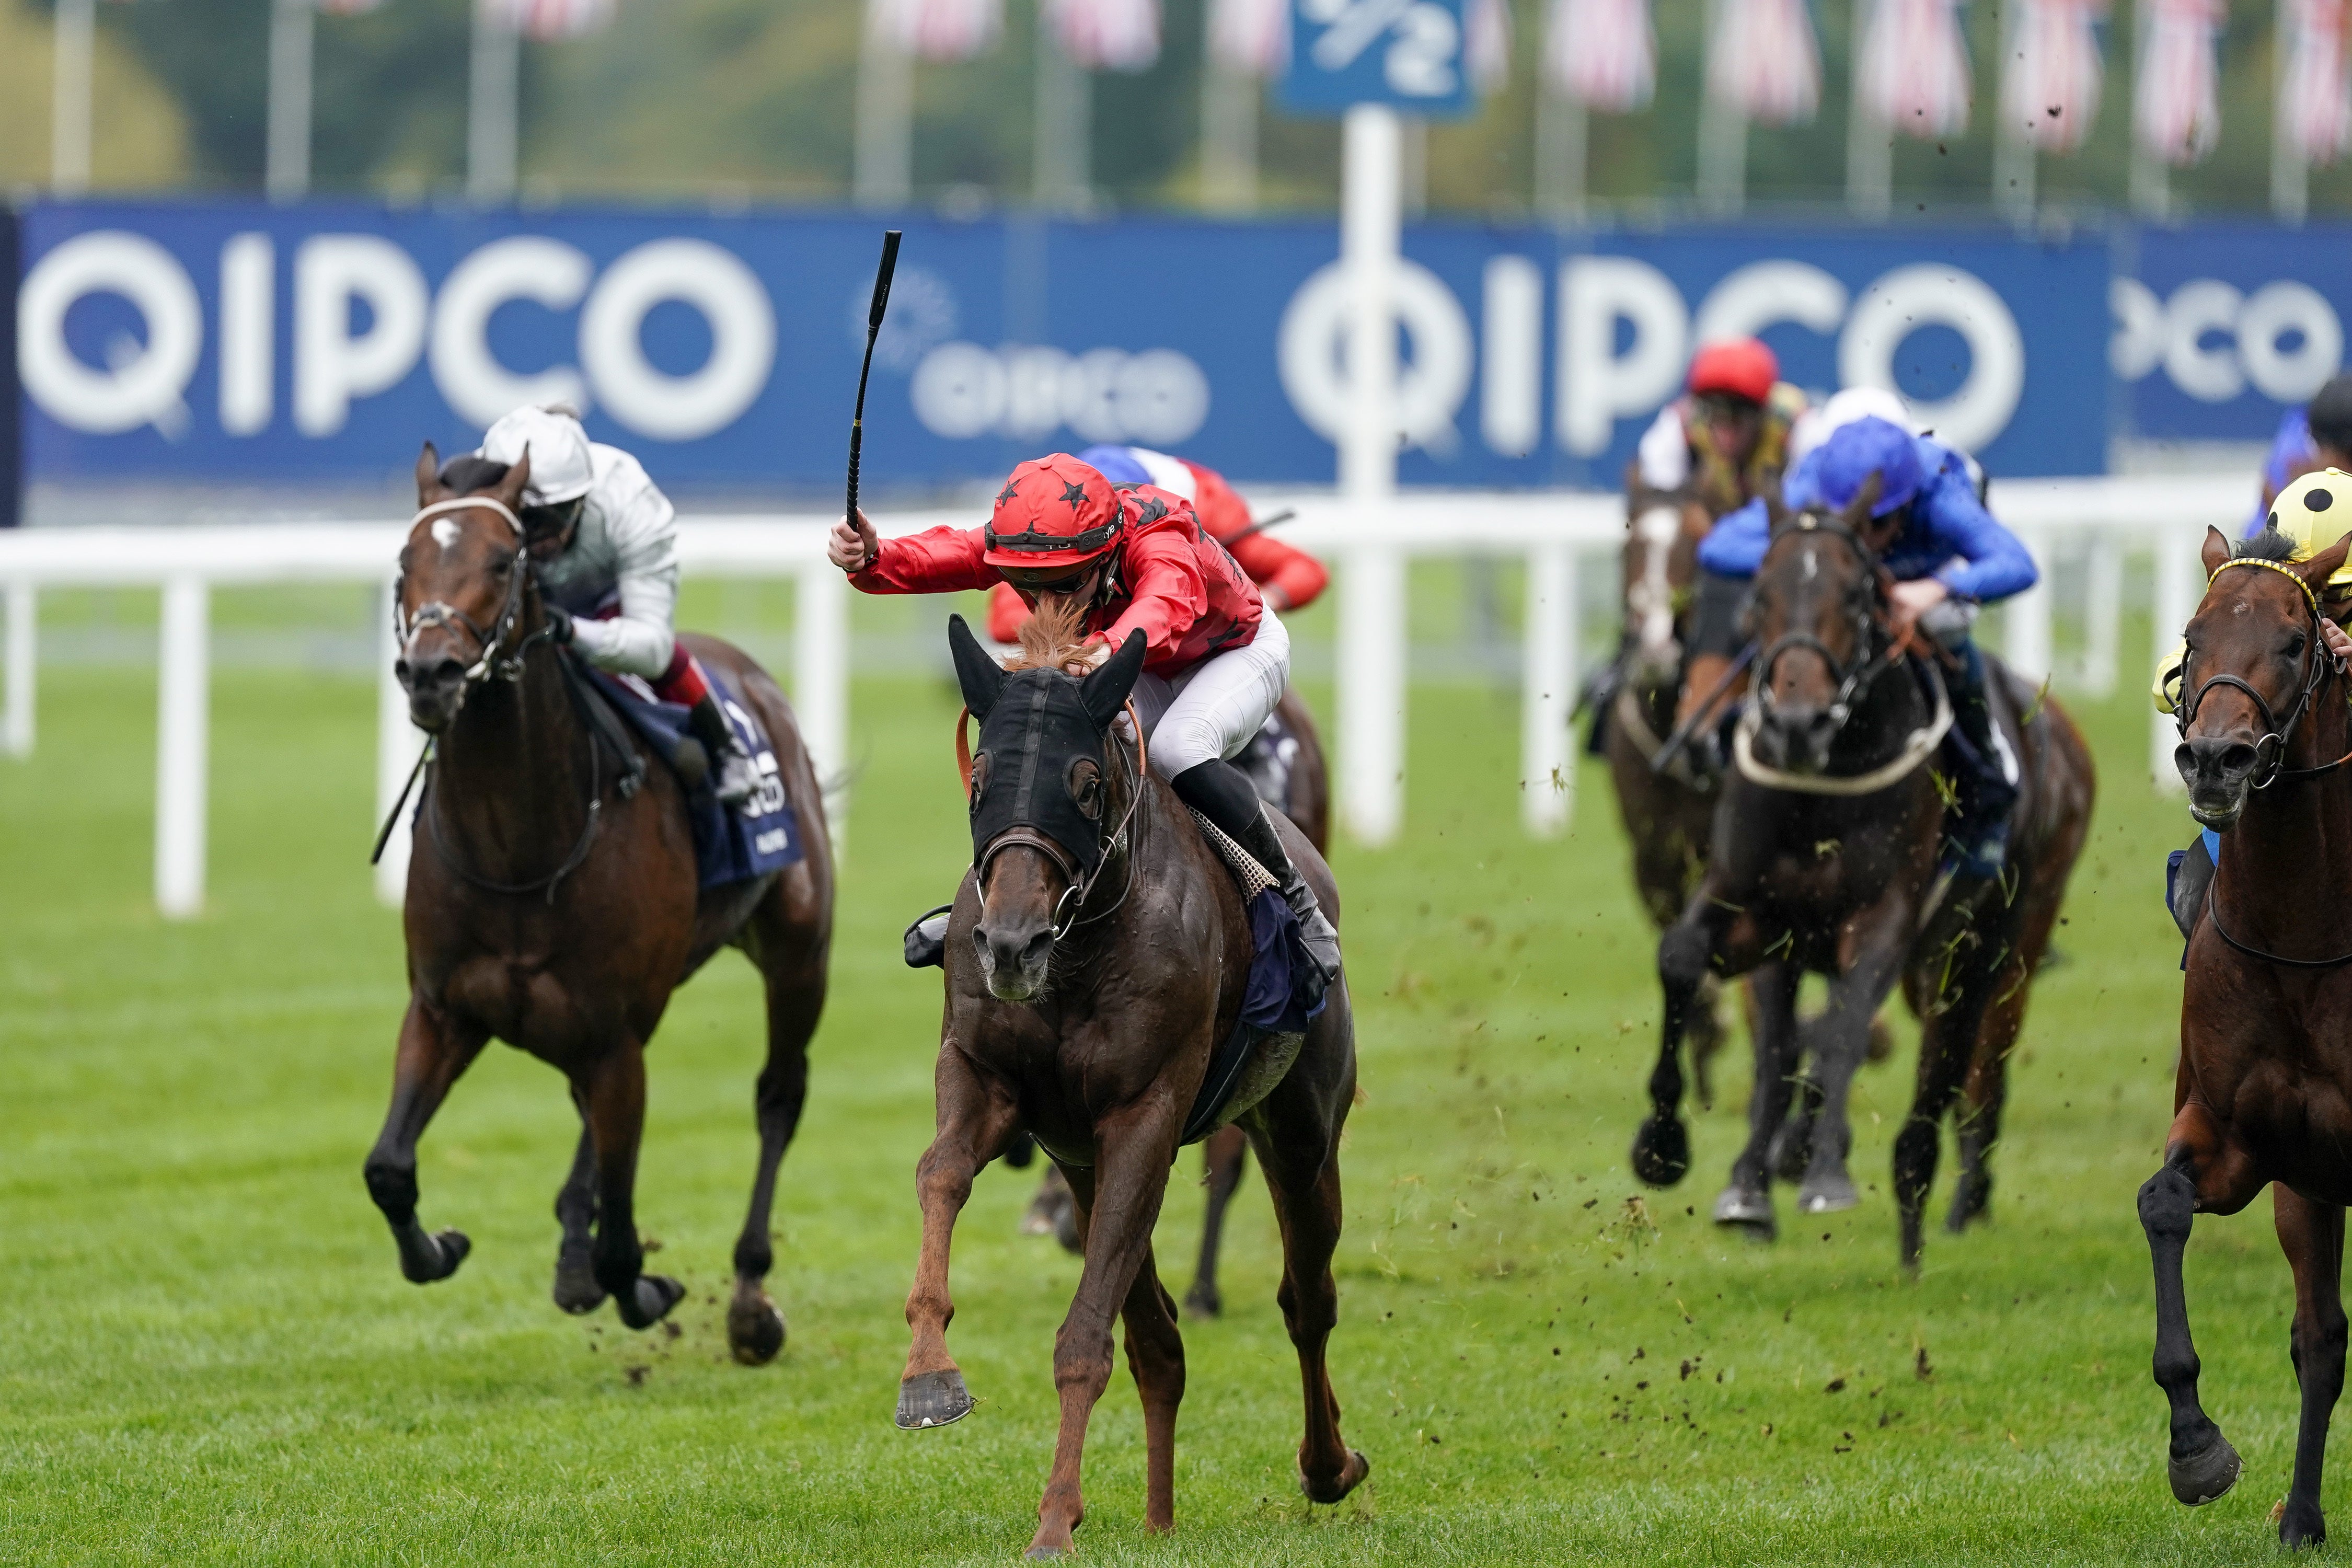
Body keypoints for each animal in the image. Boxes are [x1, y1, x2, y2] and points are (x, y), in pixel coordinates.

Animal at [367, 446, 837, 1363]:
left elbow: (626, 1240)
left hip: (797, 952)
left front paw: (646, 1287)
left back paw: (749, 1298)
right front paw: (440, 1246)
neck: (520, 846)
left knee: (778, 1097)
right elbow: (390, 1169)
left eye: (502, 562)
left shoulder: (616, 1033)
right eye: (405, 561)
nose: (433, 673)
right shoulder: (444, 1010)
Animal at [898, 611, 1374, 1561]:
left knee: (1308, 1300)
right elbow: (940, 1175)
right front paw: (930, 1377)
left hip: (1302, 1135)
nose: (1011, 945)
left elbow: (1086, 1337)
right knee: (1161, 1342)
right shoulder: (989, 1081)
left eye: (1085, 787)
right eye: (981, 782)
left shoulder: (1144, 1117)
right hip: (1085, 1167)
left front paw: (1053, 1522)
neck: (1079, 951)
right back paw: (1159, 1517)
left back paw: (1327, 1465)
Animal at [1628, 493, 2089, 1278]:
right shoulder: (1757, 915)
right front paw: (1678, 1154)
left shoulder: (1884, 920)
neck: (1823, 785)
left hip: (1994, 948)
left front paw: (1824, 1176)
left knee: (1961, 1070)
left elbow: (1842, 1029)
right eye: (1760, 596)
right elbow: (1697, 975)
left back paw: (1929, 1208)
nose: (1794, 723)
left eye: (1854, 595)